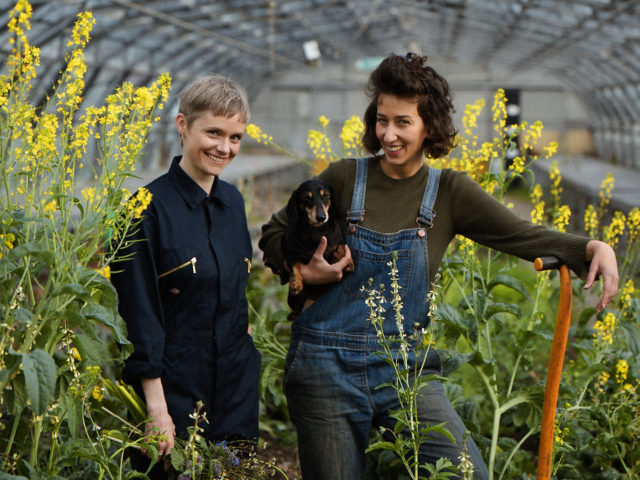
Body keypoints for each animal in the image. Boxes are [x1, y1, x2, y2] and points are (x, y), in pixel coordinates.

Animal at [282, 178, 352, 316]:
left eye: (326, 196)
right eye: (306, 198)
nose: (321, 217)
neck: (318, 231)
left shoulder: (337, 239)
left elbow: (341, 246)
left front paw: (347, 261)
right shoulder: (291, 254)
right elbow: (294, 267)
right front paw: (295, 283)